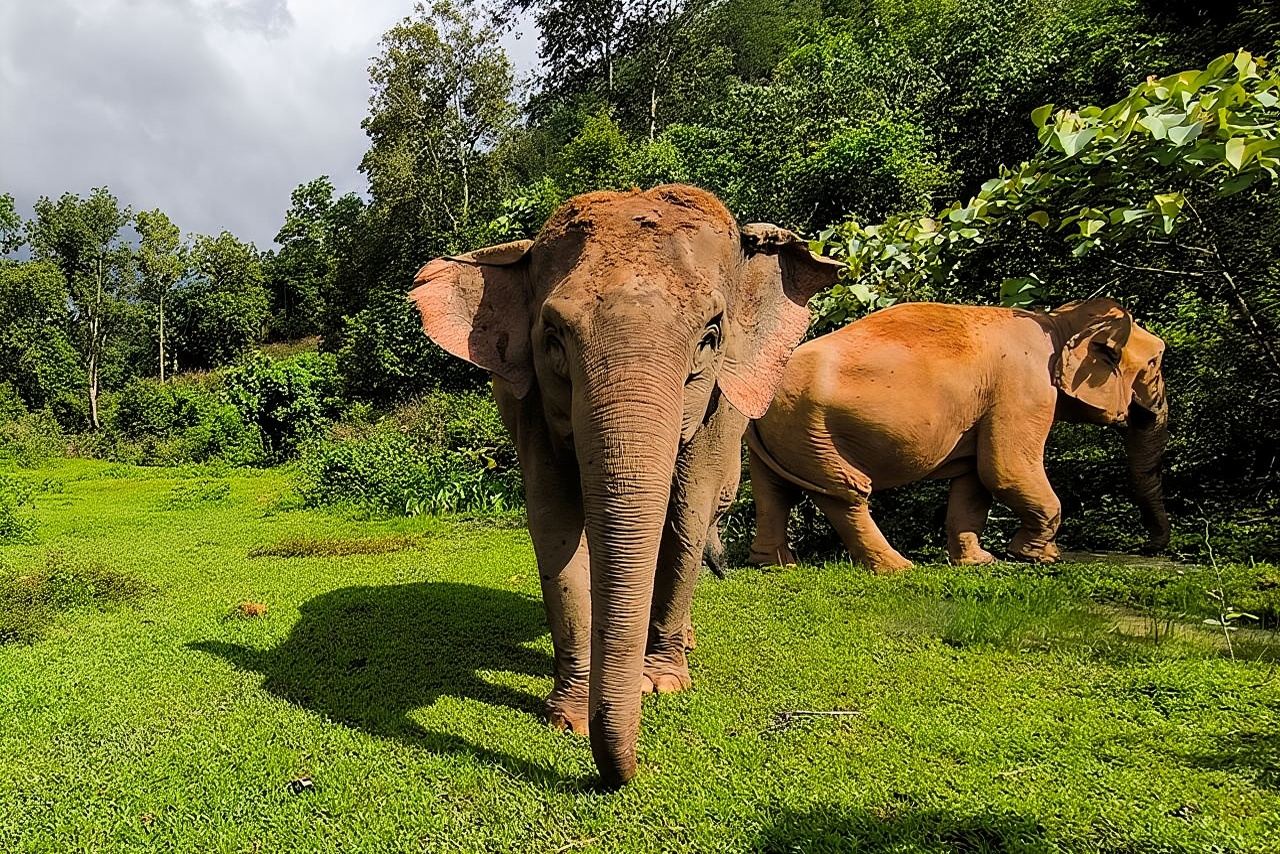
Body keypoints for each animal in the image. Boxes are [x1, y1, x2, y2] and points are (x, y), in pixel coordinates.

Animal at [408, 185, 842, 787]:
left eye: (710, 336)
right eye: (553, 338)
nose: (619, 775)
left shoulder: (716, 403)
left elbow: (687, 511)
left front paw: (661, 683)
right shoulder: (529, 402)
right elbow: (555, 523)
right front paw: (569, 717)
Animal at [745, 298, 1169, 573]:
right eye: (1154, 362)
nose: (1153, 547)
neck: (1056, 322)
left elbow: (975, 482)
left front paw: (980, 563)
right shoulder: (1023, 389)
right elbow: (1005, 471)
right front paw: (1036, 557)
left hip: (785, 433)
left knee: (775, 493)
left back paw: (776, 566)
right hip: (812, 431)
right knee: (846, 493)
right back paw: (899, 568)